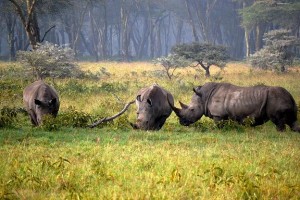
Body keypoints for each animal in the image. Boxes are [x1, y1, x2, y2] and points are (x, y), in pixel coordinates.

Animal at [169, 82, 300, 132]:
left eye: (192, 110)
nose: (182, 122)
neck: (204, 97)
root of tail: (290, 96)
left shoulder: (218, 115)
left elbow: (219, 126)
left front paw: (218, 132)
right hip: (285, 100)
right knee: (292, 121)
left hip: (276, 99)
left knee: (279, 121)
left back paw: (280, 133)